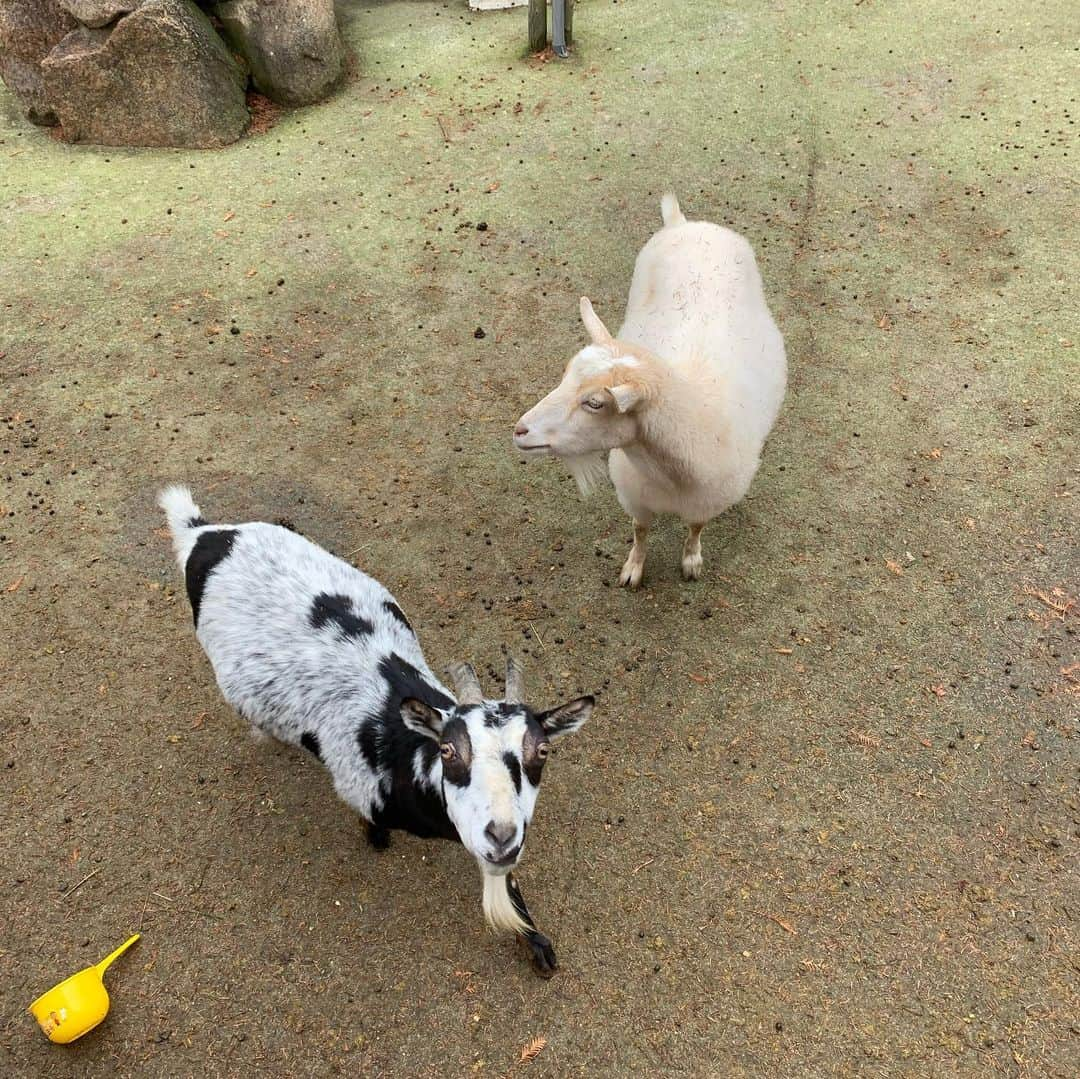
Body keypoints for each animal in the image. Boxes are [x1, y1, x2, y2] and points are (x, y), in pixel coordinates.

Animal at [514, 190, 786, 587]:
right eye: (565, 375)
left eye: (595, 403)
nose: (520, 430)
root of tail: (683, 223)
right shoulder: (635, 496)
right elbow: (640, 531)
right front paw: (633, 568)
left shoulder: (705, 504)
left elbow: (695, 529)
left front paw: (691, 561)